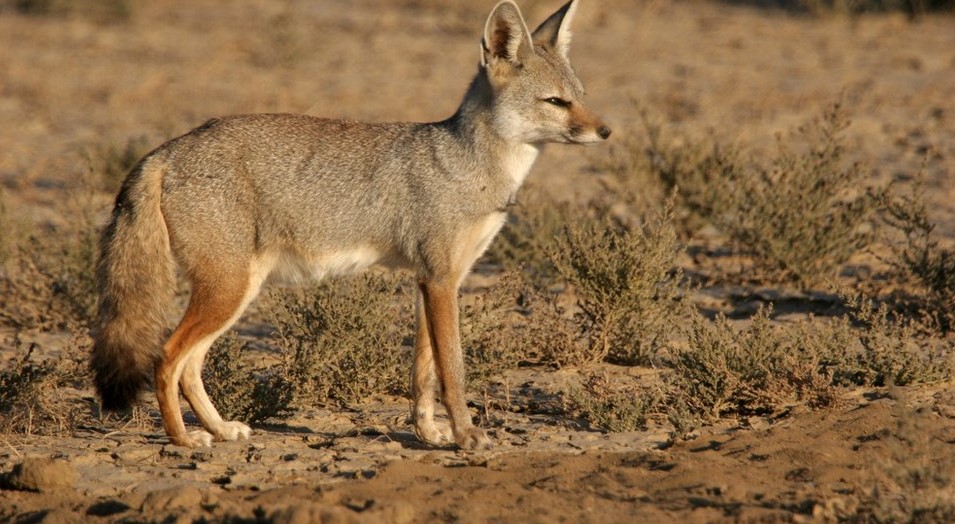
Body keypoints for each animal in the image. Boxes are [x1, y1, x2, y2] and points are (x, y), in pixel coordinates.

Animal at [91, 0, 612, 450]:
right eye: (556, 102)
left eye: (581, 97)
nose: (606, 131)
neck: (469, 165)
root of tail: (168, 149)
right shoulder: (441, 281)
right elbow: (454, 370)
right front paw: (467, 436)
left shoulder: (434, 280)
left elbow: (423, 371)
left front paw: (429, 434)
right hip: (227, 291)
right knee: (166, 358)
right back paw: (183, 439)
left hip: (237, 291)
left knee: (191, 365)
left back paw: (219, 430)